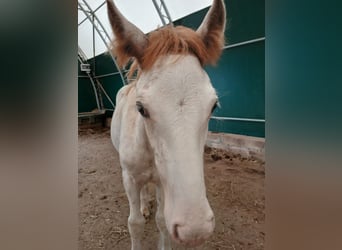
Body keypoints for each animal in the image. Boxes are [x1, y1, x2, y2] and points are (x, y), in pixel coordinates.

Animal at [105, 0, 226, 248]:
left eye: (213, 106)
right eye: (141, 108)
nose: (195, 229)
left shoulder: (163, 180)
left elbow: (162, 220)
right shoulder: (129, 178)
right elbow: (135, 223)